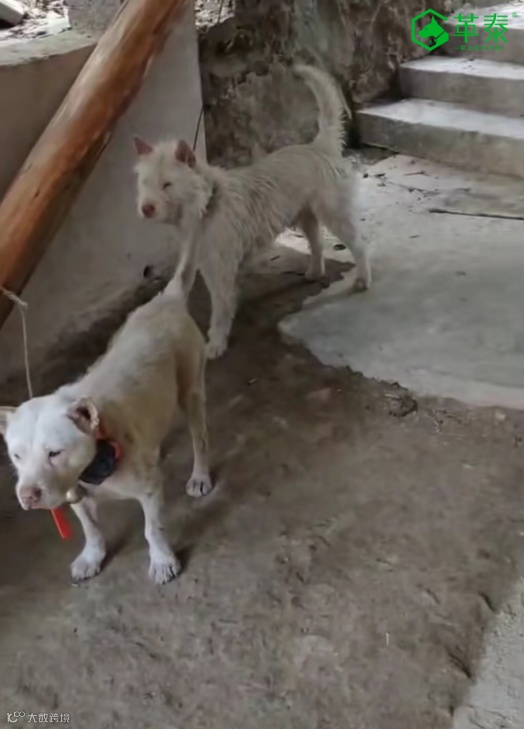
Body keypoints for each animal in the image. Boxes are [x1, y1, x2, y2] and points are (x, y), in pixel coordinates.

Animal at [0, 245, 213, 585]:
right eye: (16, 456)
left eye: (55, 453)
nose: (28, 495)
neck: (96, 455)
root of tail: (166, 300)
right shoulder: (75, 493)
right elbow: (91, 530)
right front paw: (92, 556)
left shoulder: (149, 490)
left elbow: (152, 529)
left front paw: (162, 560)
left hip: (191, 391)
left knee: (199, 438)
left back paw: (200, 476)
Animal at [133, 64, 372, 359]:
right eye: (145, 182)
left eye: (167, 184)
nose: (146, 208)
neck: (208, 204)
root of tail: (317, 146)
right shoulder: (200, 259)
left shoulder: (220, 268)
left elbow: (221, 307)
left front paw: (216, 342)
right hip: (305, 215)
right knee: (316, 242)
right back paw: (315, 271)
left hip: (334, 213)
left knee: (358, 244)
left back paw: (363, 278)